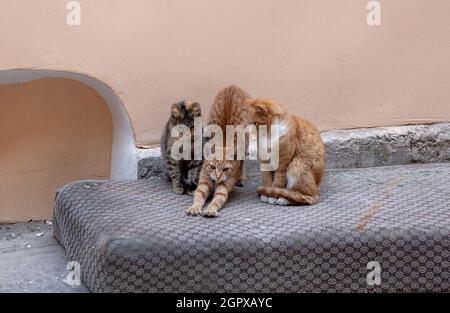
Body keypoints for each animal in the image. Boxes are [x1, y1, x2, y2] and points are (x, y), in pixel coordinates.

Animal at [185, 85, 251, 217]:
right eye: (212, 167)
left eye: (225, 169)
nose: (218, 176)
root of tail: (233, 86)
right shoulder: (204, 181)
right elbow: (198, 197)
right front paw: (195, 207)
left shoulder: (223, 187)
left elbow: (216, 200)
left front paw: (210, 209)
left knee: (243, 161)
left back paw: (241, 178)